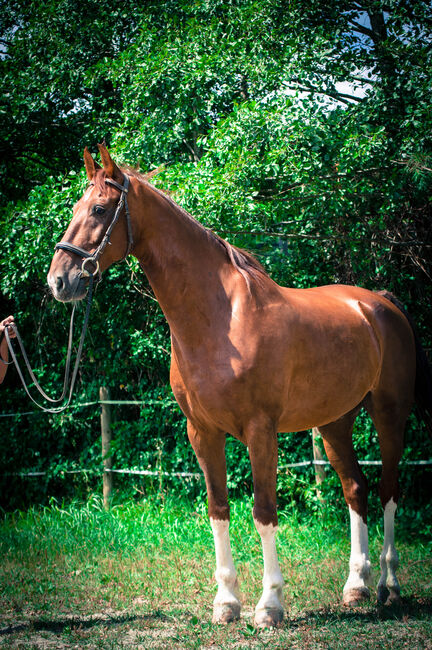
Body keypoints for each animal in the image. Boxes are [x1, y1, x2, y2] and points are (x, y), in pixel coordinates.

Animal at [48, 144, 432, 624]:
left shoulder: (260, 430)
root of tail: (379, 304)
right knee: (355, 489)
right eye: (74, 209)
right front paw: (226, 602)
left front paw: (269, 606)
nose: (59, 280)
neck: (221, 318)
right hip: (334, 423)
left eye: (99, 209)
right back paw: (355, 587)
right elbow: (219, 509)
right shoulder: (203, 433)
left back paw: (389, 585)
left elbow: (264, 511)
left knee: (388, 490)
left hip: (389, 414)